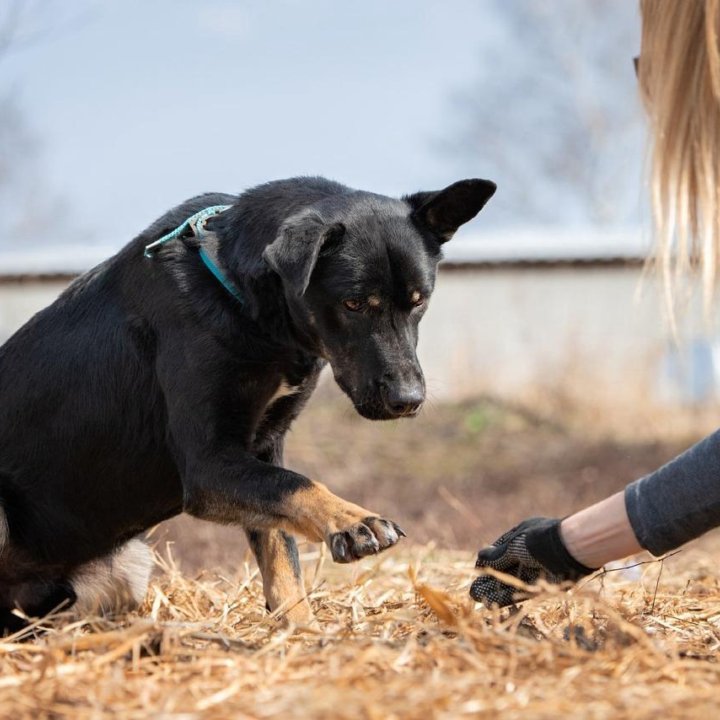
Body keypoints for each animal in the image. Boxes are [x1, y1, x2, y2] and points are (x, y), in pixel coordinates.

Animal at [0, 177, 496, 628]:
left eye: (419, 301)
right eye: (354, 303)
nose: (408, 401)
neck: (246, 305)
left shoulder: (261, 448)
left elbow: (281, 552)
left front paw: (302, 632)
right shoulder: (209, 464)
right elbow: (295, 485)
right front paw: (353, 520)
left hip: (126, 565)